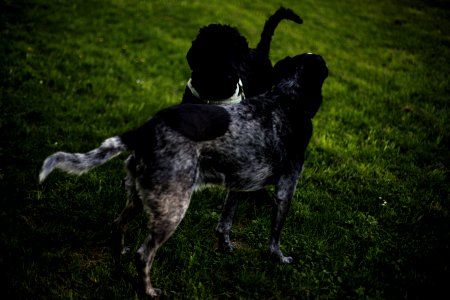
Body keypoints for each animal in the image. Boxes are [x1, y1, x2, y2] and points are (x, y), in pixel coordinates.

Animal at [39, 52, 326, 296]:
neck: (287, 99)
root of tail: (144, 130)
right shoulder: (286, 188)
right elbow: (275, 236)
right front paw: (280, 259)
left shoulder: (238, 184)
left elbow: (225, 223)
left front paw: (225, 247)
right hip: (173, 208)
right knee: (144, 255)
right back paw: (148, 291)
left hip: (138, 196)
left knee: (118, 224)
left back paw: (119, 255)